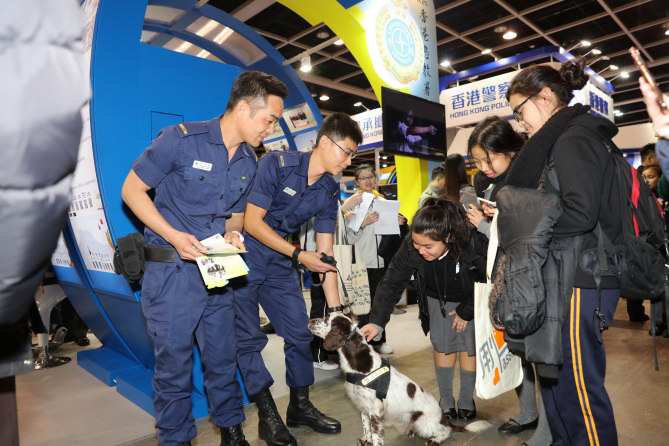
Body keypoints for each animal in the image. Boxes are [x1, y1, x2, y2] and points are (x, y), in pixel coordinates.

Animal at [306, 312, 486, 444]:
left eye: (327, 318)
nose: (309, 320)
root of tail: (443, 418)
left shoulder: (376, 411)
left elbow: (377, 436)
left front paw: (373, 442)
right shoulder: (363, 406)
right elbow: (365, 426)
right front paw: (366, 440)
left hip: (425, 422)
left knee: (448, 431)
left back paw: (436, 439)